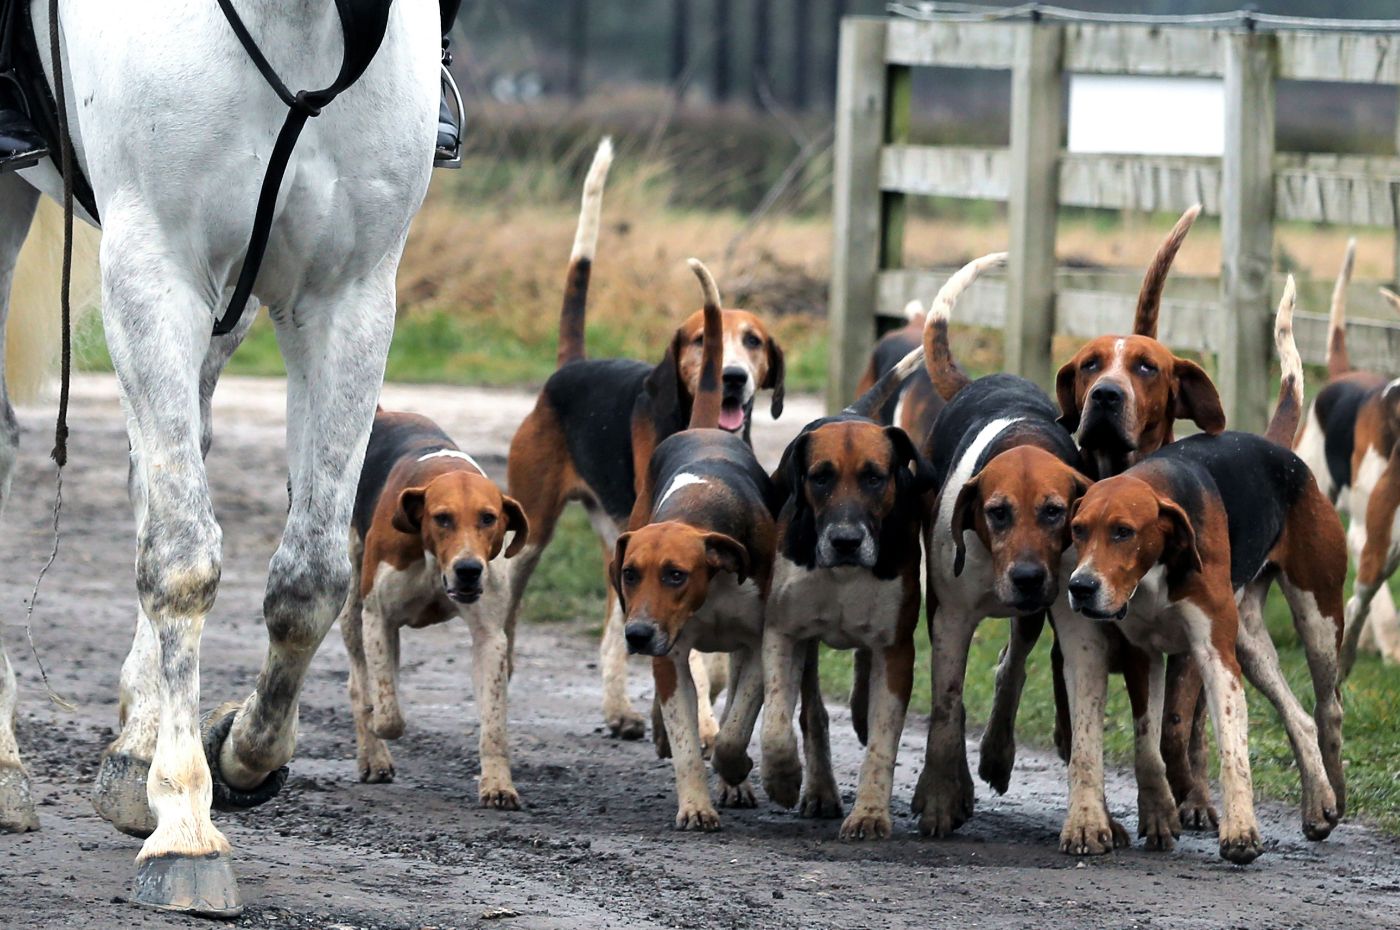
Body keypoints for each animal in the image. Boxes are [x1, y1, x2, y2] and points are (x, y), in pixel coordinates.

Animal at [0, 0, 436, 913]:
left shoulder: (344, 294)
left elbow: (311, 579)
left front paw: (234, 753)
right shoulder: (154, 268)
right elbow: (181, 559)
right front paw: (185, 827)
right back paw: (7, 762)